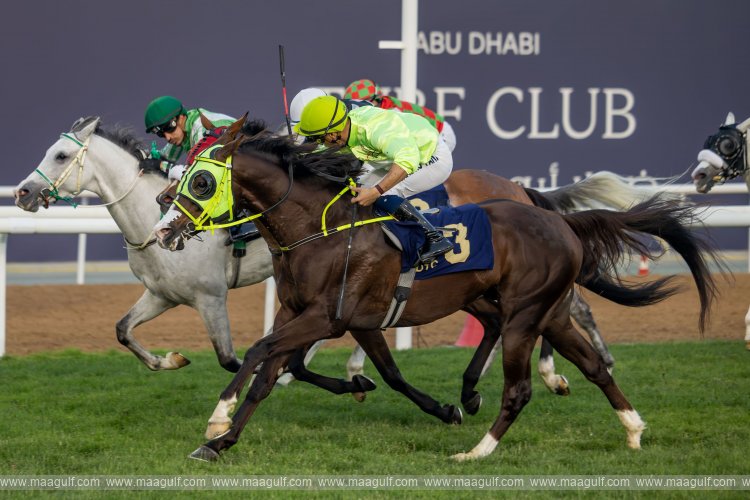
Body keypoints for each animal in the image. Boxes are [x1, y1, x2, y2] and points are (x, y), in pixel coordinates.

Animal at [154, 120, 720, 461]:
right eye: (178, 177)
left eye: (201, 182)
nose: (162, 228)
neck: (320, 229)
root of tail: (557, 220)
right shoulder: (317, 315)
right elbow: (273, 374)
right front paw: (223, 440)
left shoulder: (328, 316)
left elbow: (261, 352)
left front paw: (217, 420)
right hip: (540, 308)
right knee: (592, 365)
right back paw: (631, 428)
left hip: (525, 311)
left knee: (519, 384)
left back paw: (479, 448)